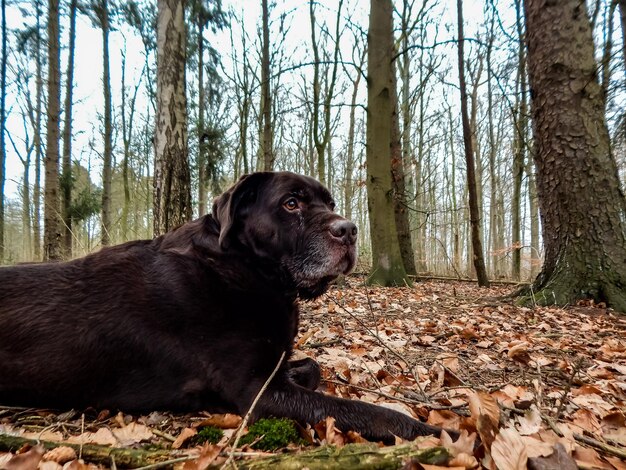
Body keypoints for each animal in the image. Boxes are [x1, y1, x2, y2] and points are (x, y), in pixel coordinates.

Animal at [0, 171, 442, 442]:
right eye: (291, 203)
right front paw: (437, 433)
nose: (349, 230)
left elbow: (313, 366)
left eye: (329, 202)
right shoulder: (257, 393)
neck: (244, 268)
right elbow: (373, 413)